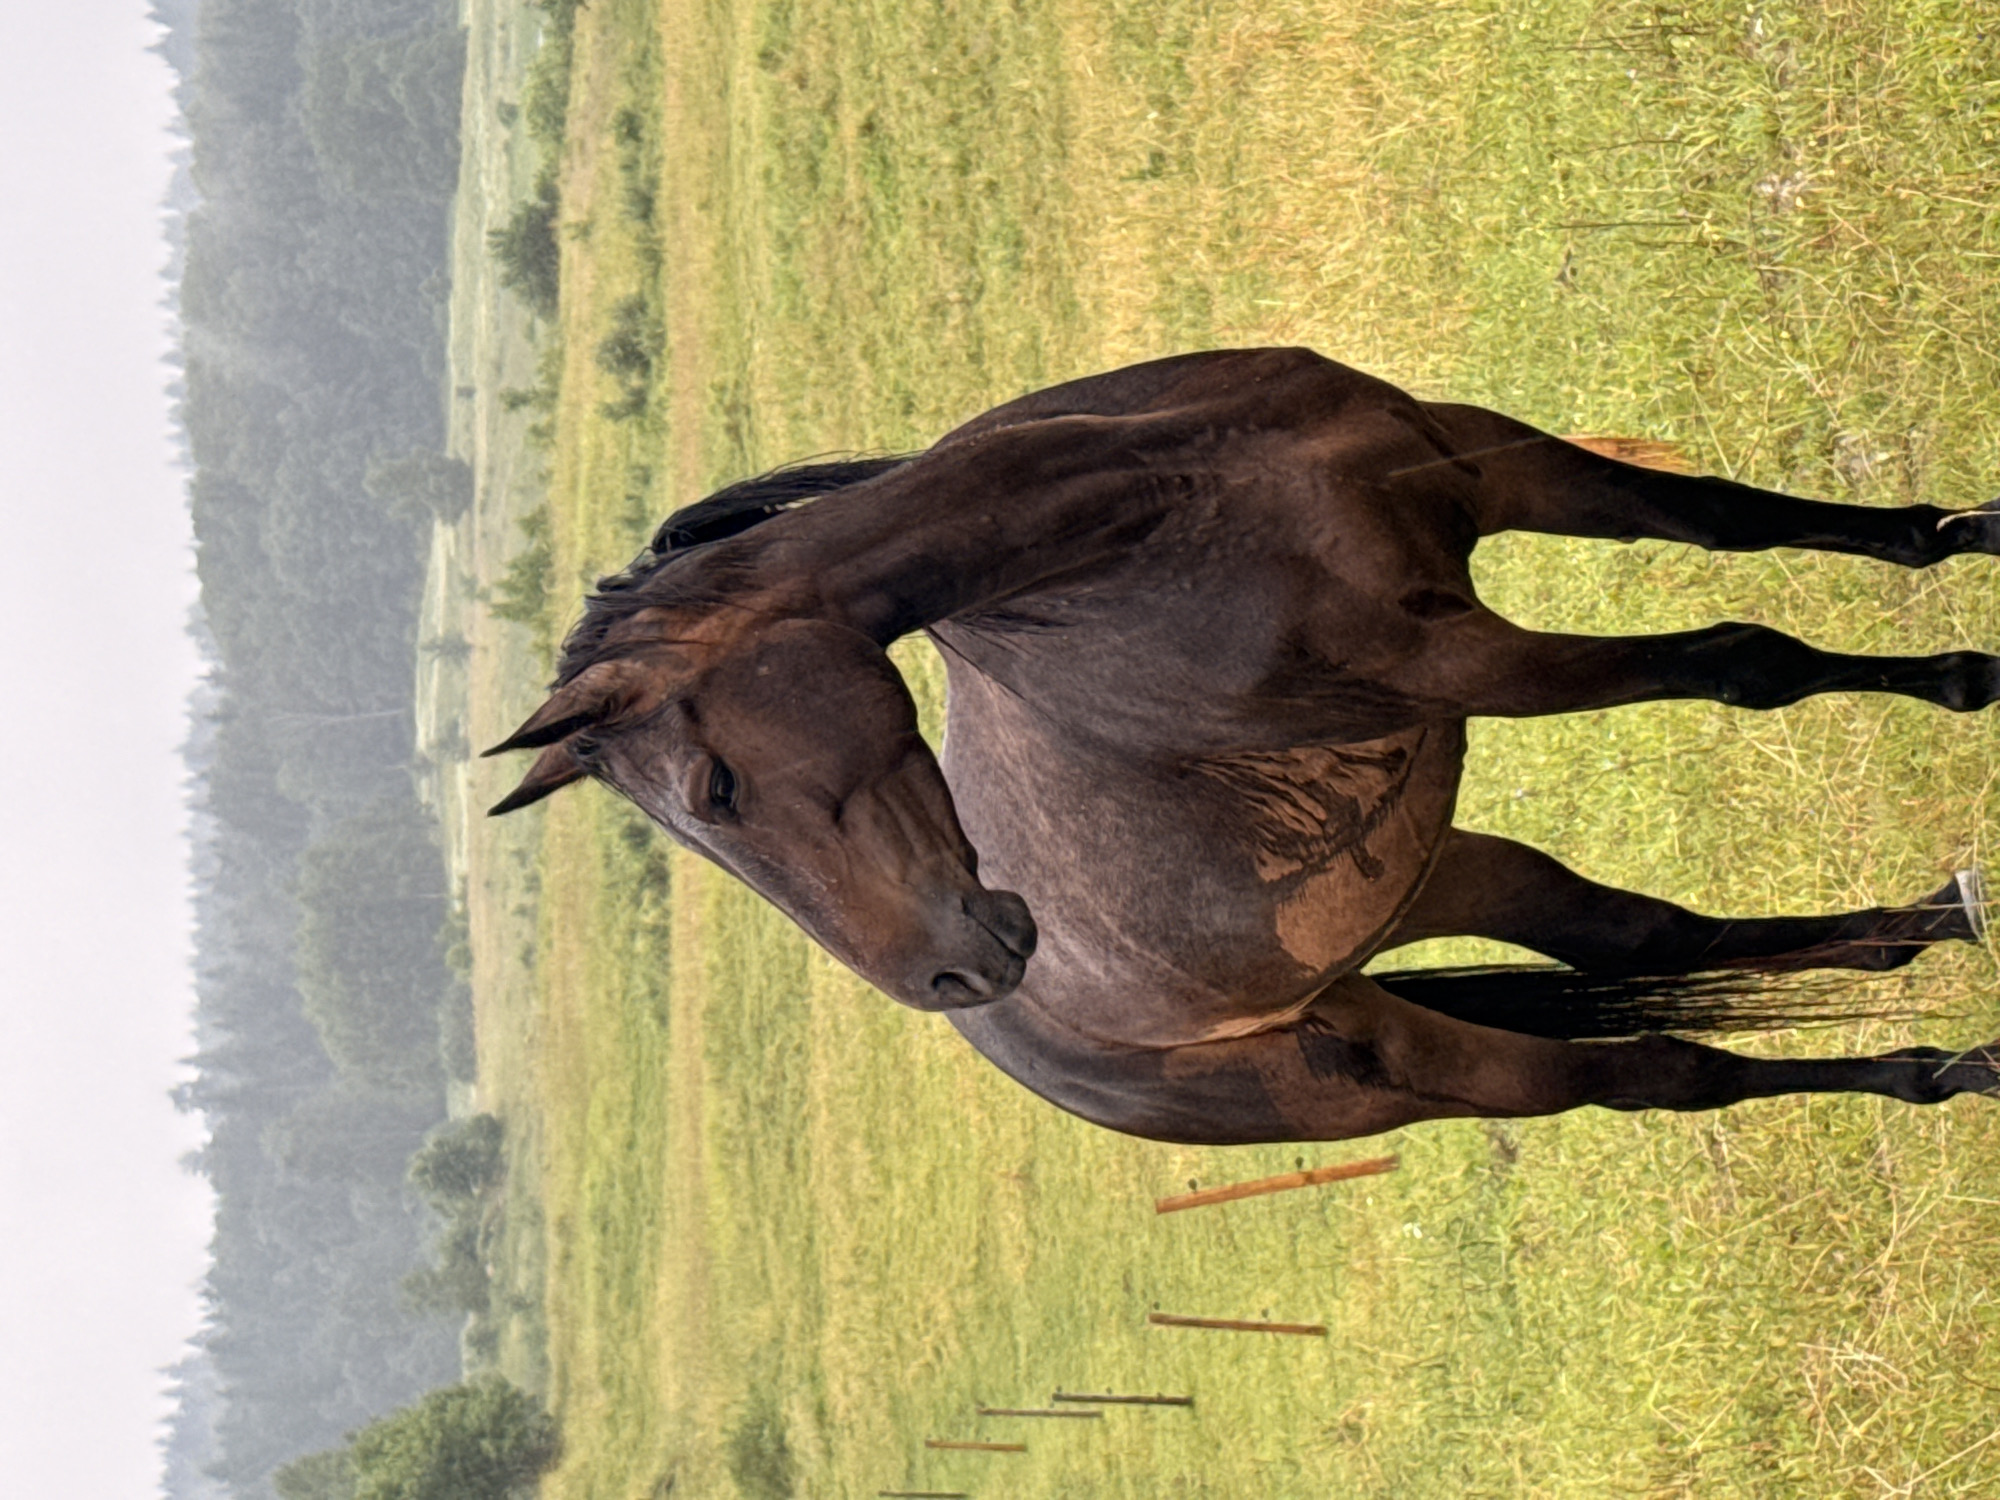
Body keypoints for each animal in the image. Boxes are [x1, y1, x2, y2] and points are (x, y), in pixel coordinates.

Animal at [486, 347, 2000, 1145]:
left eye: (714, 789)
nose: (945, 971)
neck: (1168, 510)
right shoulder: (1460, 662)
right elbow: (1747, 662)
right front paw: (1972, 673)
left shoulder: (1492, 460)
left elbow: (1734, 526)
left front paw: (1963, 549)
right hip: (1396, 1065)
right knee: (1661, 1072)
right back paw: (1947, 1060)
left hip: (1427, 872)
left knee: (1645, 940)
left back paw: (1933, 950)